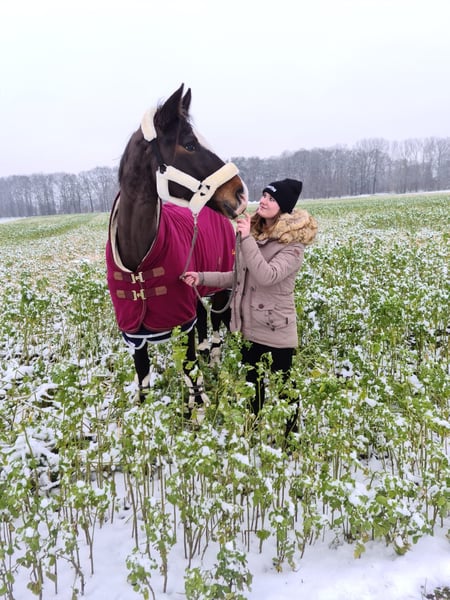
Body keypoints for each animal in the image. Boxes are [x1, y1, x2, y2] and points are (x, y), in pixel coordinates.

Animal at [106, 84, 247, 415]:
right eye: (190, 144)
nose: (240, 193)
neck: (138, 262)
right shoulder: (134, 335)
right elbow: (143, 377)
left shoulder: (183, 322)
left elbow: (189, 367)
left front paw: (198, 410)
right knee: (206, 324)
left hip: (220, 286)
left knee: (216, 325)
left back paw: (215, 363)